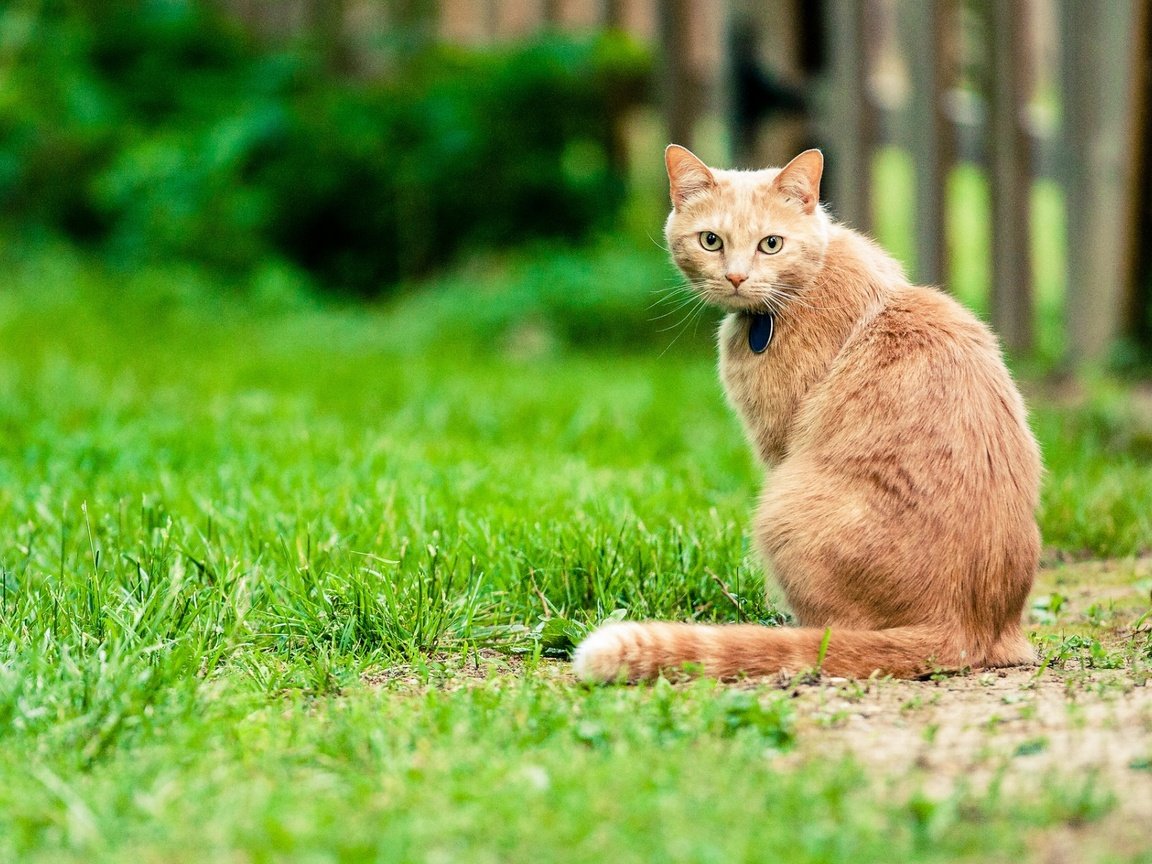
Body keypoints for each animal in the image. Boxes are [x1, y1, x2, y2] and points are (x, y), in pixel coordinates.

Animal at [576, 145, 1046, 681]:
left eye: (771, 244)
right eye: (711, 241)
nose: (736, 276)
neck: (804, 288)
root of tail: (967, 628)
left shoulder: (777, 446)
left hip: (781, 507)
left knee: (836, 636)